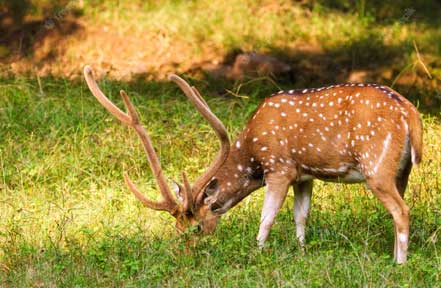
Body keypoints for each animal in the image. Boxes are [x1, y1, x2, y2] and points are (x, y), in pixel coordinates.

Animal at [84, 65, 422, 264]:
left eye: (195, 227)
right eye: (176, 228)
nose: (187, 254)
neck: (251, 155)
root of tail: (410, 115)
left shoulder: (279, 167)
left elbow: (266, 218)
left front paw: (257, 253)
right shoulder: (304, 175)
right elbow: (301, 216)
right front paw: (301, 252)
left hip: (377, 167)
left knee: (402, 210)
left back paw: (399, 263)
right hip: (401, 170)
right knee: (399, 209)